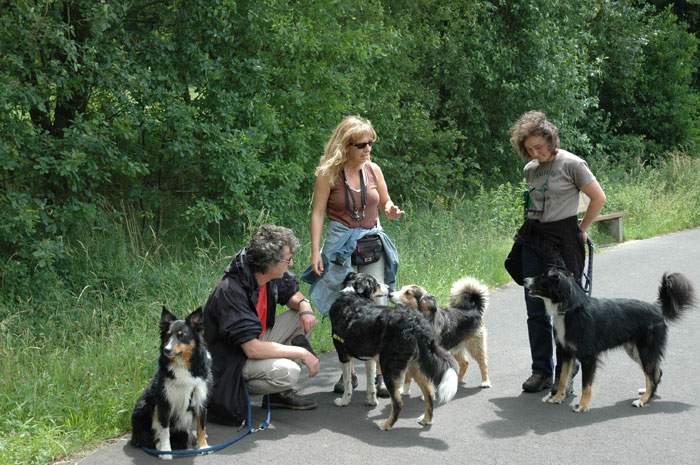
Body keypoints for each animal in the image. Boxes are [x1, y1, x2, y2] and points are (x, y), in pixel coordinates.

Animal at [129, 304, 211, 456]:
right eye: (167, 335)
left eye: (181, 335)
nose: (166, 350)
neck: (182, 364)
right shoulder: (165, 401)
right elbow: (164, 430)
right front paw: (166, 451)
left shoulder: (199, 397)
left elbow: (201, 426)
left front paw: (203, 446)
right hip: (143, 405)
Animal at [524, 268, 696, 414]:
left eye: (543, 276)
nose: (525, 280)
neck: (569, 310)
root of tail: (657, 309)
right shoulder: (564, 352)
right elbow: (562, 378)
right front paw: (557, 397)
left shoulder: (588, 357)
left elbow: (586, 385)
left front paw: (583, 405)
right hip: (635, 351)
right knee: (656, 372)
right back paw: (647, 393)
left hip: (645, 350)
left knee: (652, 374)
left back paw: (643, 400)